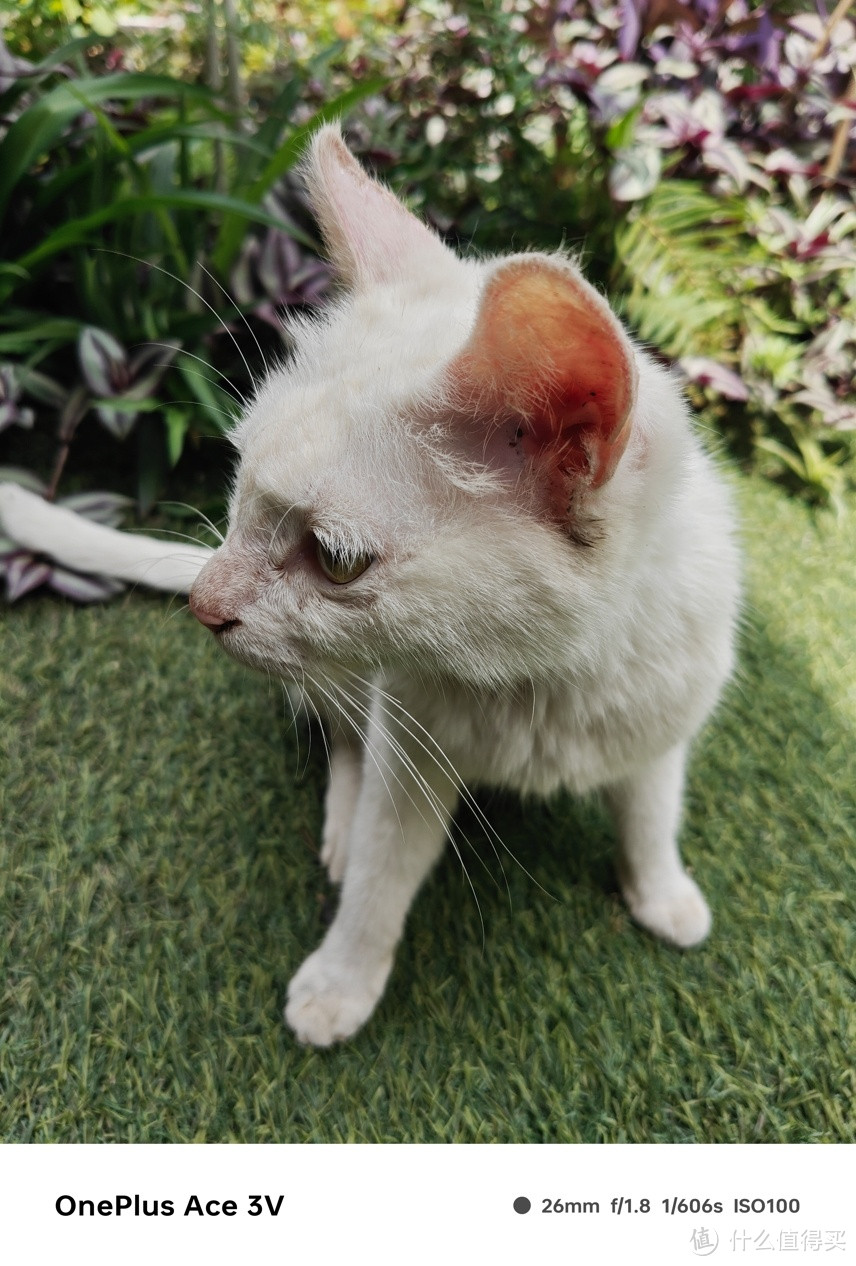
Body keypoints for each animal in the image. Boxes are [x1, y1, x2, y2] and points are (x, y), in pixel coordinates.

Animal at [0, 125, 734, 1048]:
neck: (545, 681)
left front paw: (662, 892)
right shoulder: (409, 749)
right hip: (350, 687)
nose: (202, 606)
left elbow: (651, 810)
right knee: (348, 739)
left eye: (335, 559)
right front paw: (343, 978)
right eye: (238, 489)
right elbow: (384, 878)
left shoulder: (663, 723)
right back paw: (344, 831)